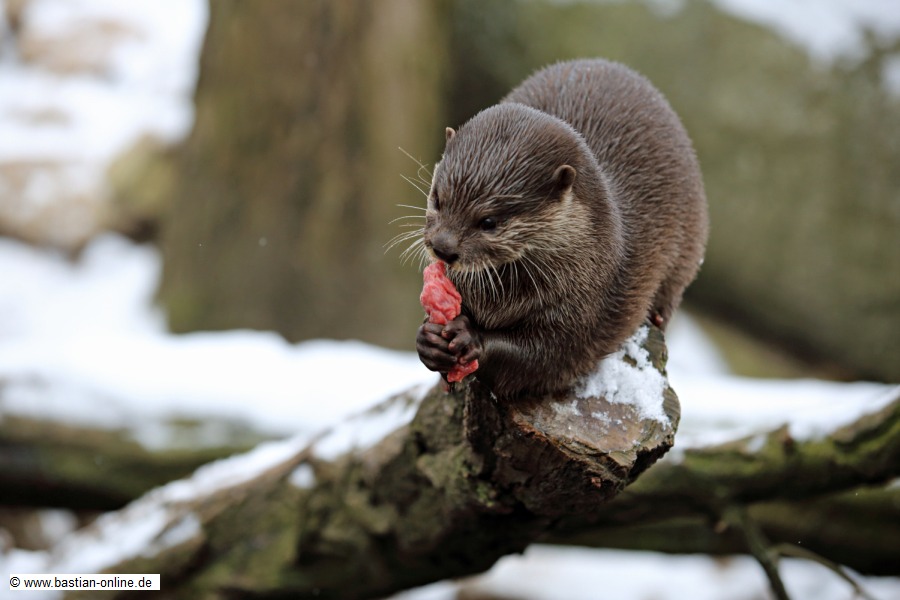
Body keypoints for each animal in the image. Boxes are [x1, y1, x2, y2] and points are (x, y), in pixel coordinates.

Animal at [415, 58, 708, 398]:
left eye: (489, 222)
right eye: (438, 198)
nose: (443, 247)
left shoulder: (587, 305)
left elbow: (547, 356)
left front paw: (471, 337)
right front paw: (429, 340)